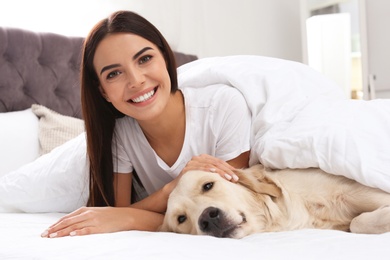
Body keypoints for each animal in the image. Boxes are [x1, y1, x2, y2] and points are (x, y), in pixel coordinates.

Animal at [160, 165, 390, 238]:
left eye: (207, 185)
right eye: (181, 219)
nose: (207, 218)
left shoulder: (355, 190)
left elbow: (357, 221)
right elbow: (356, 222)